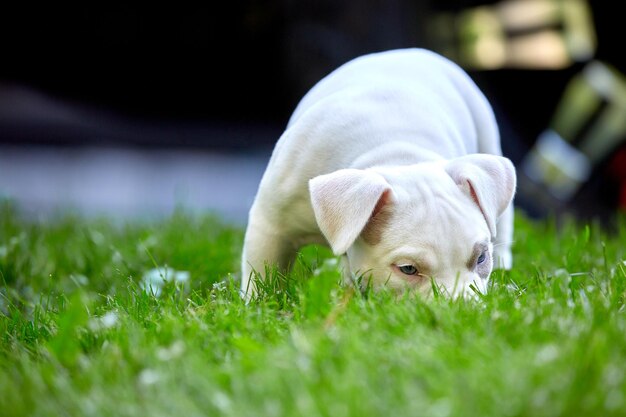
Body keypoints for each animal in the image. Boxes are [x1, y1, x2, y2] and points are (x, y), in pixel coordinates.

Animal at [239, 48, 512, 296]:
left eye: (481, 258)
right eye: (408, 269)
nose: (463, 309)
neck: (396, 157)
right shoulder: (271, 225)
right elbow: (262, 271)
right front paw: (257, 303)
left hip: (486, 133)